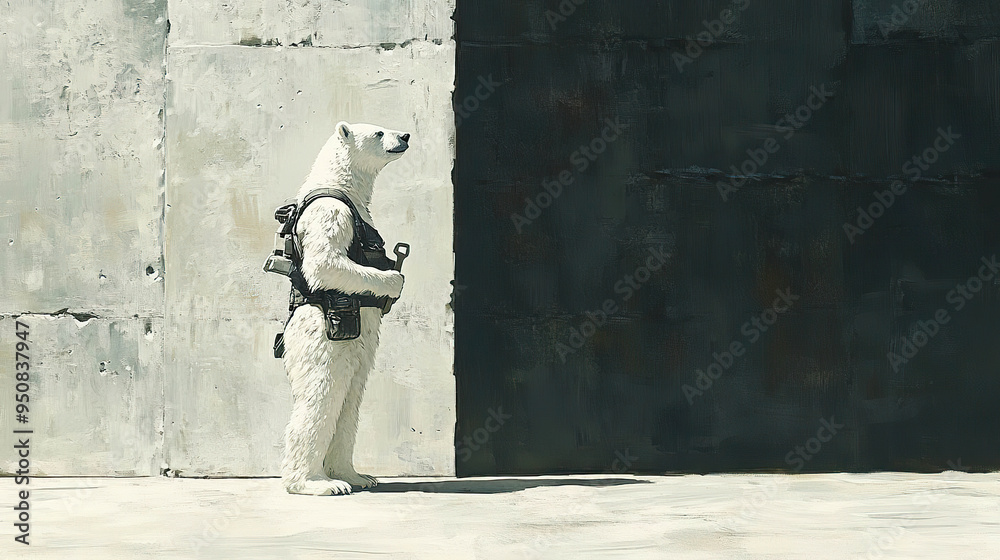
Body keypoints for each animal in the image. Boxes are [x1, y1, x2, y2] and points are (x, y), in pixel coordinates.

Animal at [280, 122, 409, 495]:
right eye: (379, 132)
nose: (405, 136)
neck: (338, 183)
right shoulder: (331, 210)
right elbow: (327, 263)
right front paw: (393, 280)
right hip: (325, 343)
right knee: (323, 393)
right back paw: (317, 483)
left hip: (359, 349)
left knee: (351, 398)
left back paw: (355, 476)